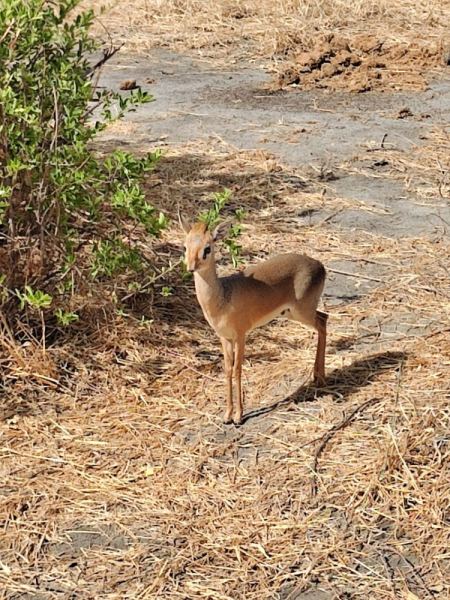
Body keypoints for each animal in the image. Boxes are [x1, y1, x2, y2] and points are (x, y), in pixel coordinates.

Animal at [178, 213, 326, 424]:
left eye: (207, 248)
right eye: (185, 246)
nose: (191, 267)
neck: (223, 297)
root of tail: (320, 266)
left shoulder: (241, 334)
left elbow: (238, 369)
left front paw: (239, 416)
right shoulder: (224, 337)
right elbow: (227, 369)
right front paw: (227, 415)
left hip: (302, 312)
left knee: (323, 323)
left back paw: (320, 377)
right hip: (293, 312)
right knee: (324, 317)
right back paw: (317, 376)